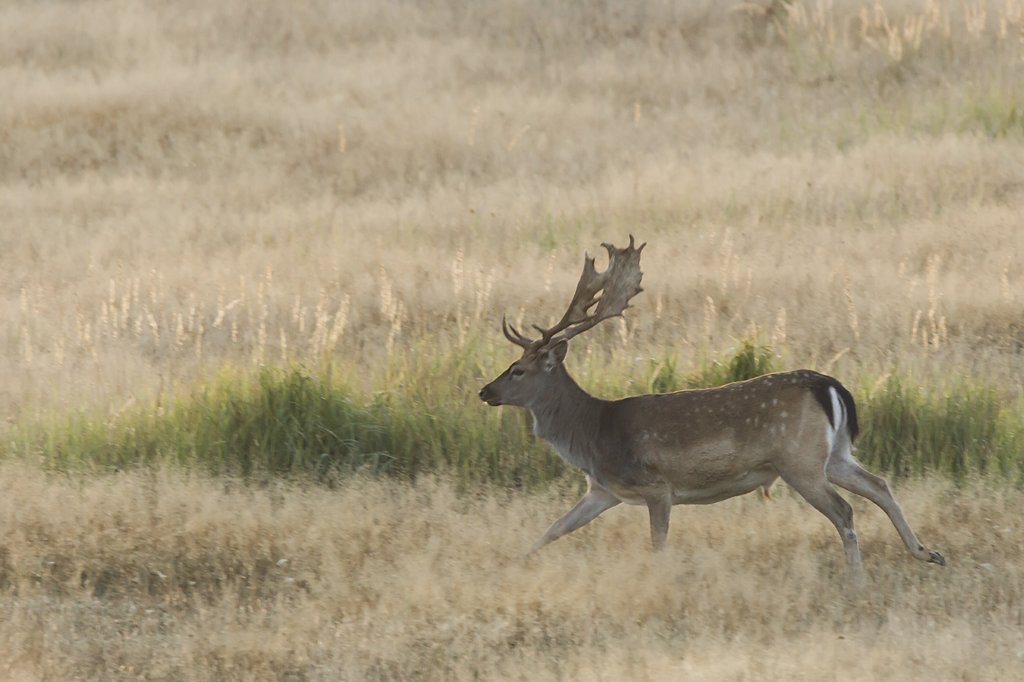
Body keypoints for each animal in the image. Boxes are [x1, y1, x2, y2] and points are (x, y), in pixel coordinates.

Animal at [477, 233, 942, 577]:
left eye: (518, 370)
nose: (485, 392)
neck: (594, 434)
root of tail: (829, 385)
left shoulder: (656, 485)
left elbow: (658, 546)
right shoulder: (603, 490)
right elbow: (553, 530)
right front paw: (514, 564)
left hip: (798, 460)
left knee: (845, 510)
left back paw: (857, 582)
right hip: (833, 454)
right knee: (879, 485)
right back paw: (927, 553)